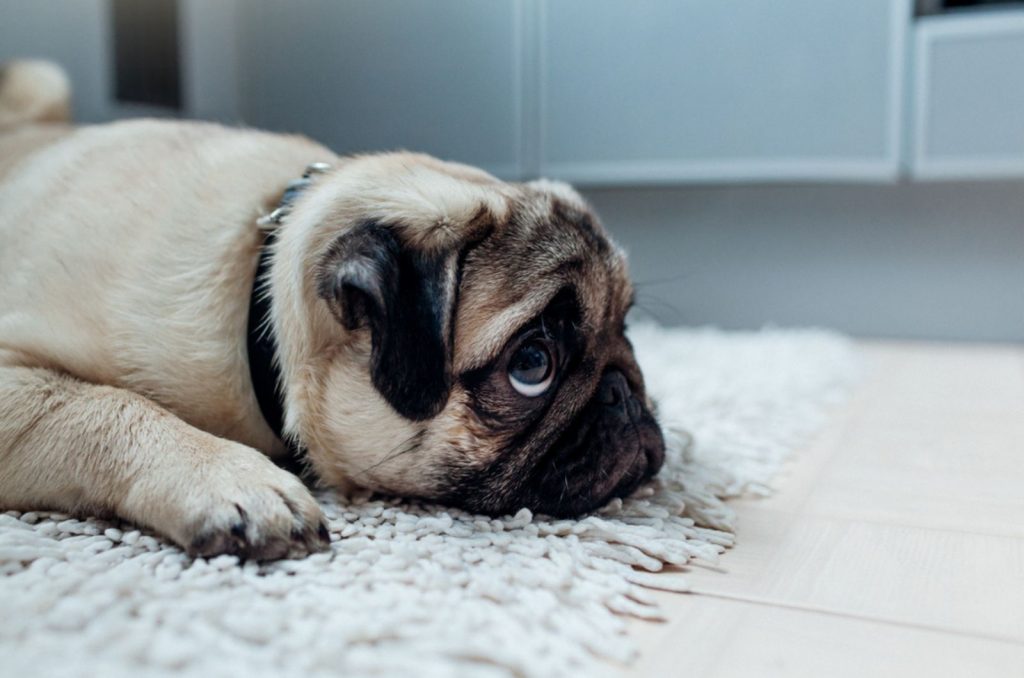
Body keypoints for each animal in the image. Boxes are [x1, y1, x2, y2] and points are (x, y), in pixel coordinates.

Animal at [0, 62, 663, 561]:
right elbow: (104, 406)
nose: (623, 393)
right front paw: (230, 477)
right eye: (532, 365)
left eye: (626, 328)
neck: (255, 294)